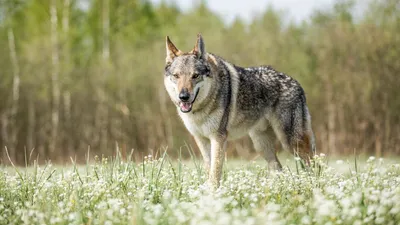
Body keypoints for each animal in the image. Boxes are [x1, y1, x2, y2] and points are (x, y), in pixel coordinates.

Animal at [162, 34, 316, 189]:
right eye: (176, 76)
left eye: (195, 76)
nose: (183, 97)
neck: (200, 109)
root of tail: (297, 84)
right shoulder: (201, 139)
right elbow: (209, 169)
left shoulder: (218, 138)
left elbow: (215, 173)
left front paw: (213, 193)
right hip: (261, 145)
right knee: (278, 168)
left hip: (291, 142)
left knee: (312, 162)